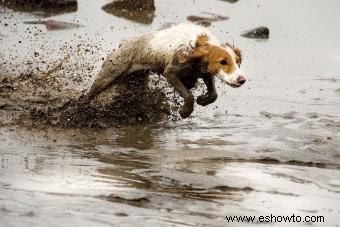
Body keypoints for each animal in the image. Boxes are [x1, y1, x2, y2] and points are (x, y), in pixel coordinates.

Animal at [83, 23, 246, 119]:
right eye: (223, 62)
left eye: (237, 62)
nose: (242, 80)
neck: (197, 44)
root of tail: (123, 44)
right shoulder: (171, 72)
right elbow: (188, 96)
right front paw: (184, 111)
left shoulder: (204, 72)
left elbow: (213, 94)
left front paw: (203, 99)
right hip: (109, 74)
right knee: (88, 95)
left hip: (136, 81)